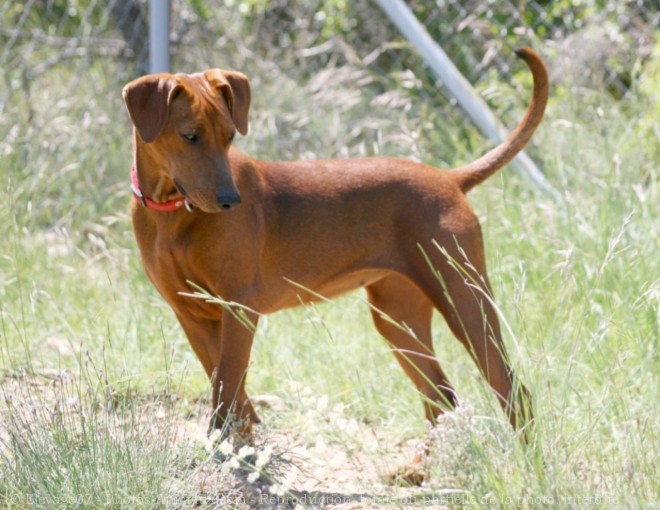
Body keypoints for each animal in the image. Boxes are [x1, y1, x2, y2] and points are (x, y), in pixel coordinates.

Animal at [122, 47, 548, 444]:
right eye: (189, 135)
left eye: (229, 136)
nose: (230, 201)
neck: (171, 212)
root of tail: (449, 179)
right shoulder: (191, 313)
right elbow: (227, 384)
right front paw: (241, 441)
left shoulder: (238, 307)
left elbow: (227, 387)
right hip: (398, 319)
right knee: (440, 398)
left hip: (464, 301)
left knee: (513, 392)